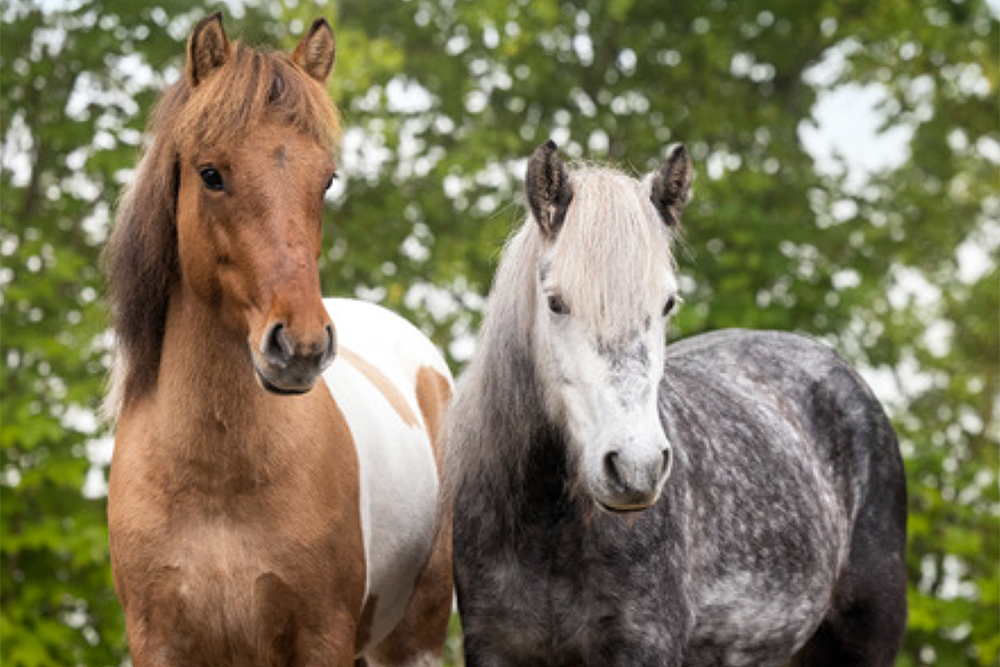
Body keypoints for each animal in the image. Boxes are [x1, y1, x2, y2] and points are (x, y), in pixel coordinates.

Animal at [102, 15, 454, 667]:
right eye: (211, 174)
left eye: (327, 180)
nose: (302, 348)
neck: (217, 482)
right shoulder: (157, 642)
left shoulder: (322, 636)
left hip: (412, 639)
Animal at [446, 141, 908, 667]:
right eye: (556, 302)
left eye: (667, 304)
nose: (636, 467)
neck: (548, 525)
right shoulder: (494, 647)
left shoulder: (645, 646)